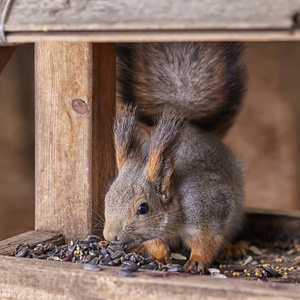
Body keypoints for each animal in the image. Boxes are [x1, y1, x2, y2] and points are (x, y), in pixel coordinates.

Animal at [103, 42, 246, 274]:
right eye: (107, 199)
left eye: (143, 208)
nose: (110, 236)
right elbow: (155, 241)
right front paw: (159, 256)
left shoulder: (210, 211)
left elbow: (207, 242)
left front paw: (197, 260)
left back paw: (231, 248)